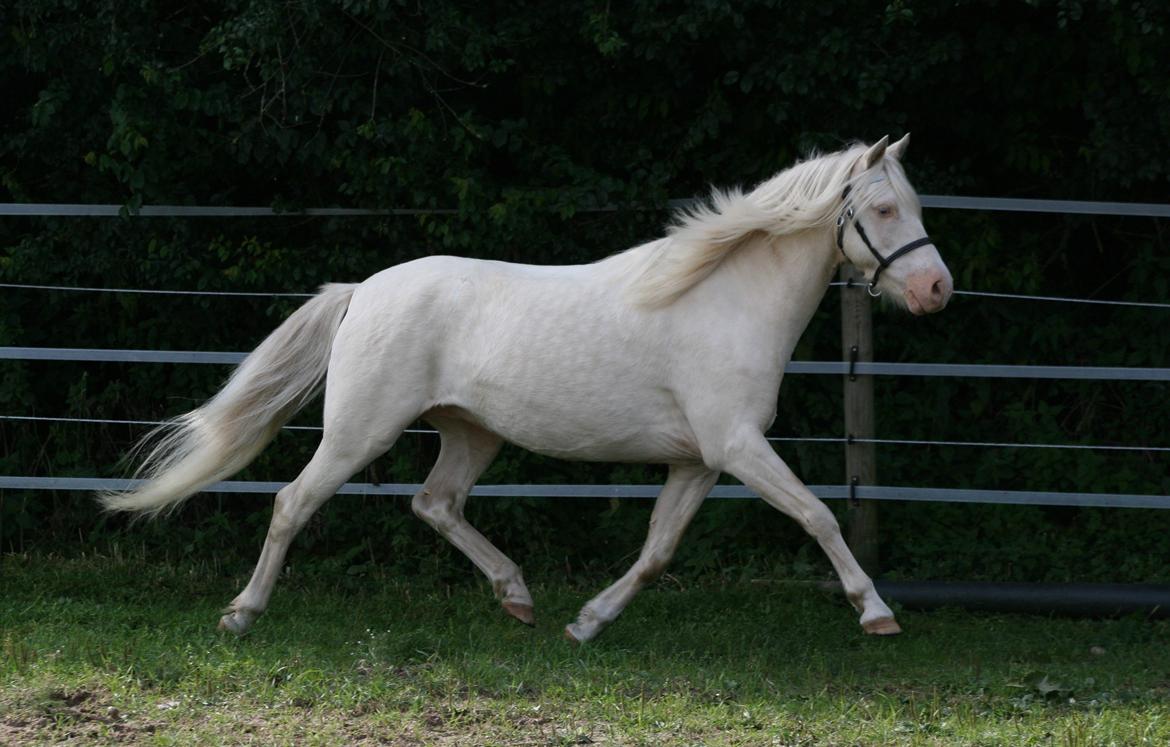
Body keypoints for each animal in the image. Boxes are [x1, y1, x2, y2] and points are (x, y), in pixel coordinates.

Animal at [102, 134, 952, 641]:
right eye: (883, 207)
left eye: (914, 204)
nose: (937, 289)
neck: (721, 302)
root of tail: (363, 291)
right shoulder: (738, 446)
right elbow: (818, 516)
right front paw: (877, 612)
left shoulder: (699, 460)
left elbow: (657, 550)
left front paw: (588, 622)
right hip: (359, 431)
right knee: (292, 502)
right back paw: (241, 613)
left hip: (471, 431)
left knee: (434, 502)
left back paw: (517, 594)